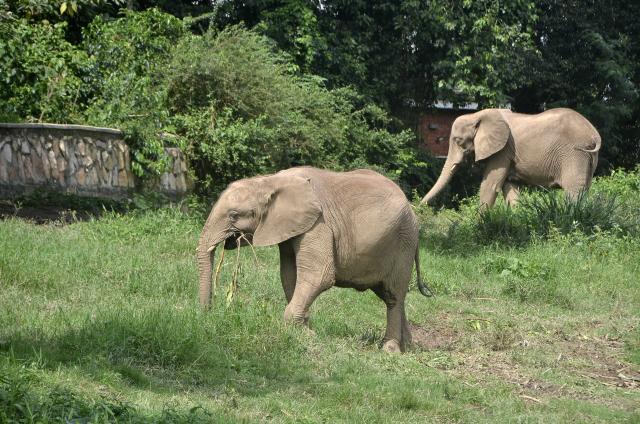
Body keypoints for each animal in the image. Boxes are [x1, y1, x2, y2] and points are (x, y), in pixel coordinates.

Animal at [196, 166, 432, 352]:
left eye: (234, 215)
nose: (209, 312)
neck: (270, 181)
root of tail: (413, 213)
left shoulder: (319, 224)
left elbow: (319, 276)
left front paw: (303, 334)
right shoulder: (292, 229)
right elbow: (290, 275)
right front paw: (305, 330)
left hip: (402, 244)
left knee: (393, 296)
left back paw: (390, 350)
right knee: (391, 295)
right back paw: (408, 347)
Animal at [421, 108, 601, 207]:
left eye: (458, 141)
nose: (419, 207)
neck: (477, 115)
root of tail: (594, 133)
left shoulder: (503, 150)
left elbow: (490, 184)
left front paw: (481, 223)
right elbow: (510, 186)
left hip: (575, 153)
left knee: (574, 190)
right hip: (587, 157)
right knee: (584, 188)